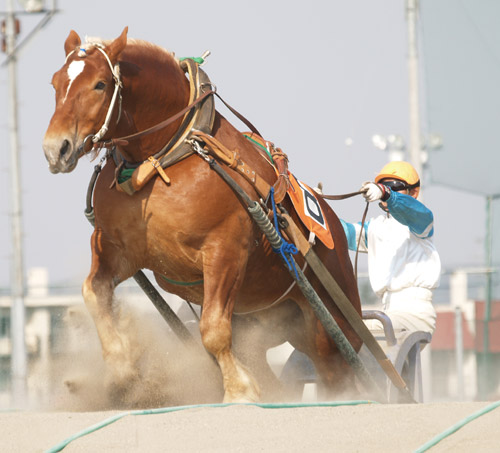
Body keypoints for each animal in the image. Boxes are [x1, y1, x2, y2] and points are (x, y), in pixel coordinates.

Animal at [43, 27, 362, 402]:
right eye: (55, 83)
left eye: (100, 84)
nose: (55, 148)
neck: (163, 157)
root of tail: (336, 227)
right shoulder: (119, 249)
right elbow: (94, 293)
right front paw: (121, 372)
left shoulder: (225, 249)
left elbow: (212, 329)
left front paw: (239, 390)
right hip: (271, 319)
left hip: (332, 322)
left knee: (343, 367)